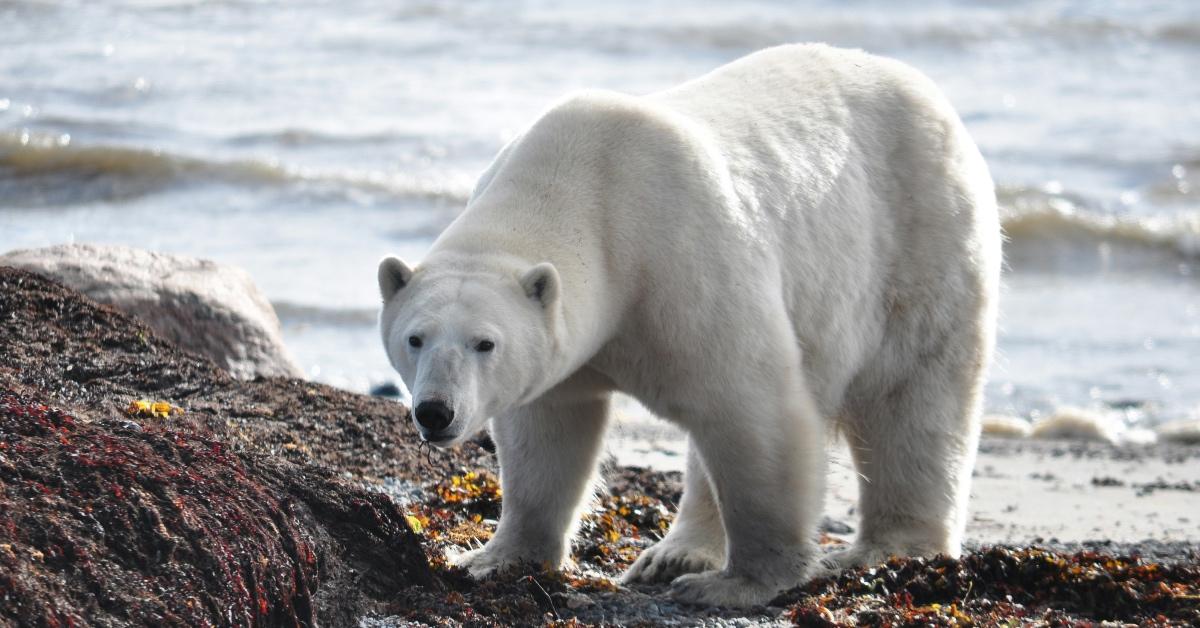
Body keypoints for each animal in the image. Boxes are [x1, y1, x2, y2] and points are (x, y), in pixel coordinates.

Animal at [379, 44, 998, 609]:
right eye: (415, 339)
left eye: (485, 343)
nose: (435, 412)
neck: (587, 190)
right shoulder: (570, 344)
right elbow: (549, 432)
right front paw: (493, 558)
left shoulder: (682, 264)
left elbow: (752, 407)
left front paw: (739, 584)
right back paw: (674, 554)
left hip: (919, 240)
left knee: (911, 400)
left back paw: (893, 548)